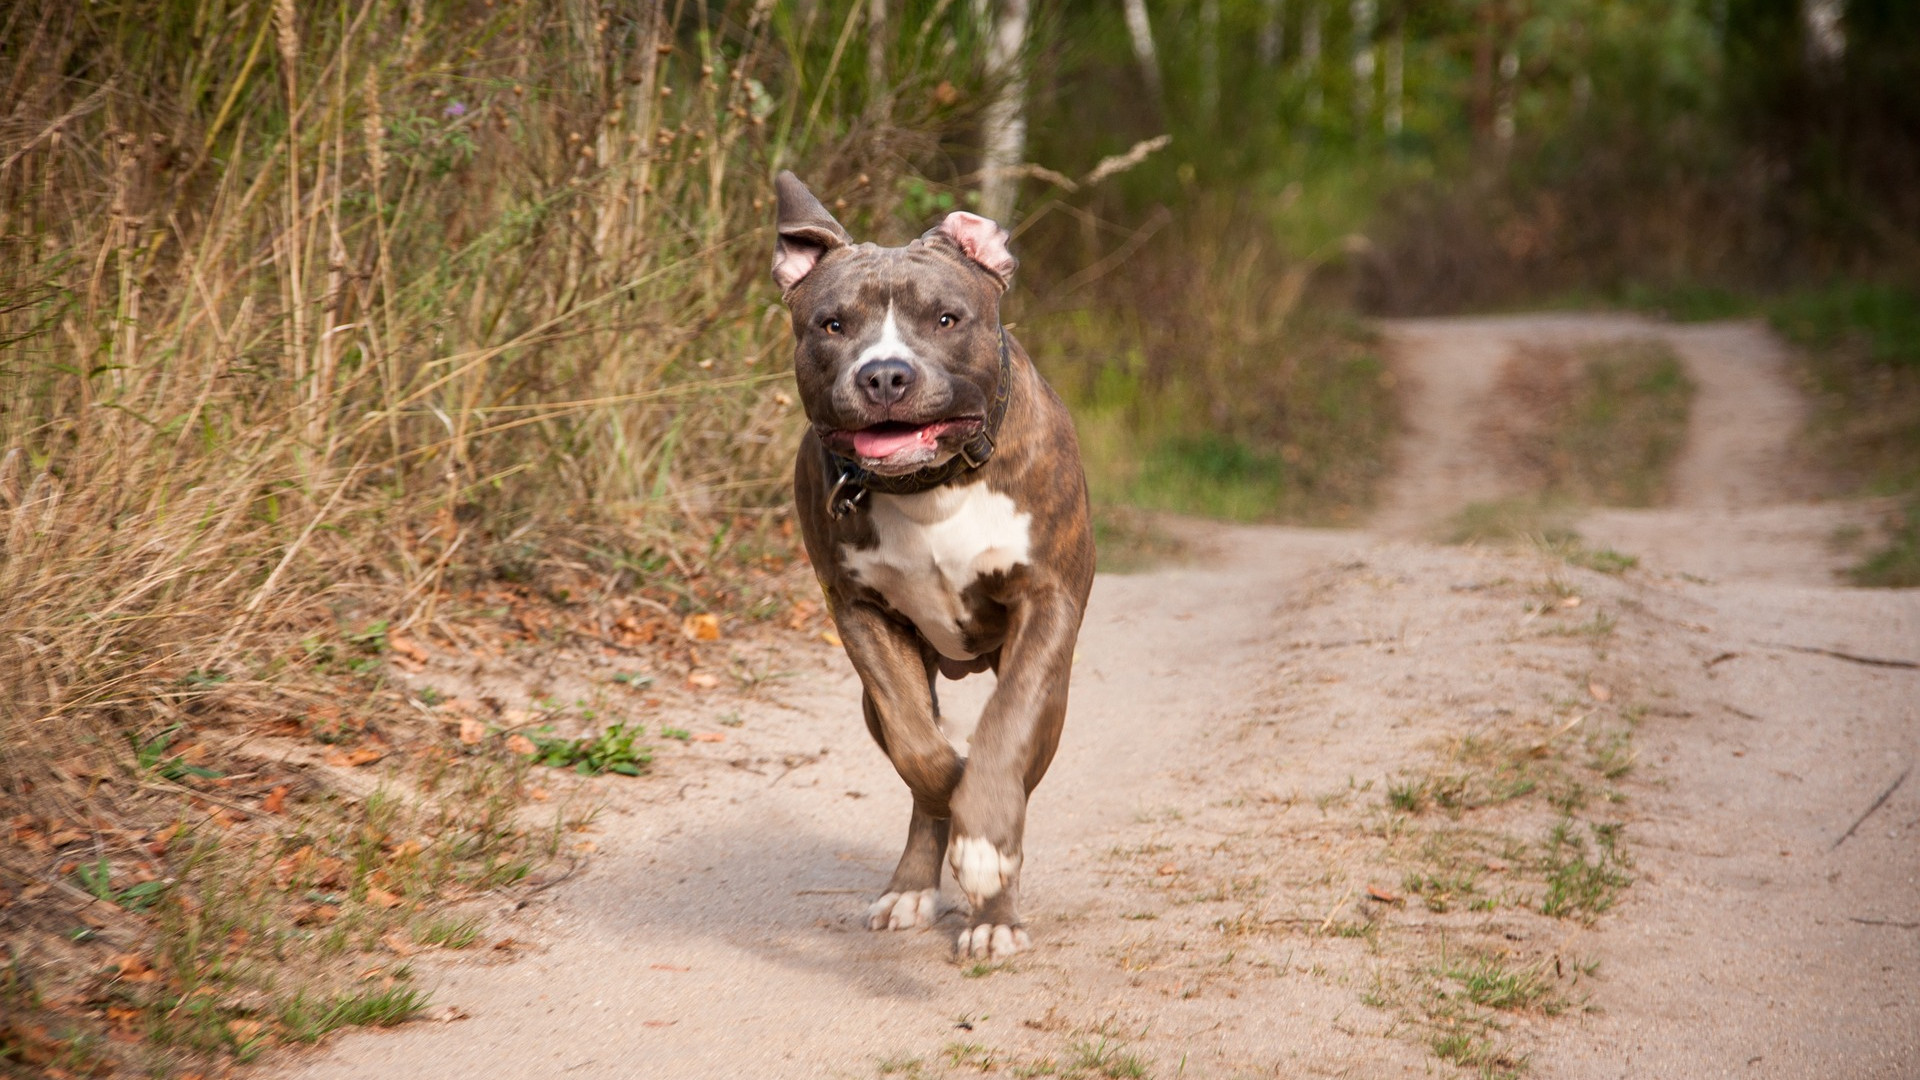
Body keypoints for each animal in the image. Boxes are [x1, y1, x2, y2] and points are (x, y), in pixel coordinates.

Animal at [768, 171, 1098, 953]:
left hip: (1056, 693)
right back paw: (914, 886)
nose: (885, 374)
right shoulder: (860, 613)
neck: (931, 487)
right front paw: (954, 796)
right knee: (917, 761)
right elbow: (921, 750)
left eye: (947, 319)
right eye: (832, 325)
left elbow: (1005, 733)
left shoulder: (1046, 604)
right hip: (877, 693)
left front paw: (987, 850)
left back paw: (995, 912)